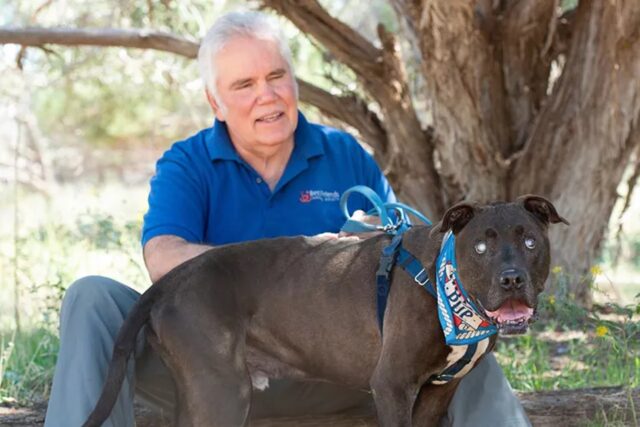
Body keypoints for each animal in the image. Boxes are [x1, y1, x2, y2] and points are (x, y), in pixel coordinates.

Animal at [82, 196, 568, 426]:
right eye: (481, 247)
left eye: (530, 241)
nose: (511, 280)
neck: (444, 288)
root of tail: (170, 280)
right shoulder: (393, 385)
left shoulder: (437, 393)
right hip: (221, 392)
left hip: (202, 393)